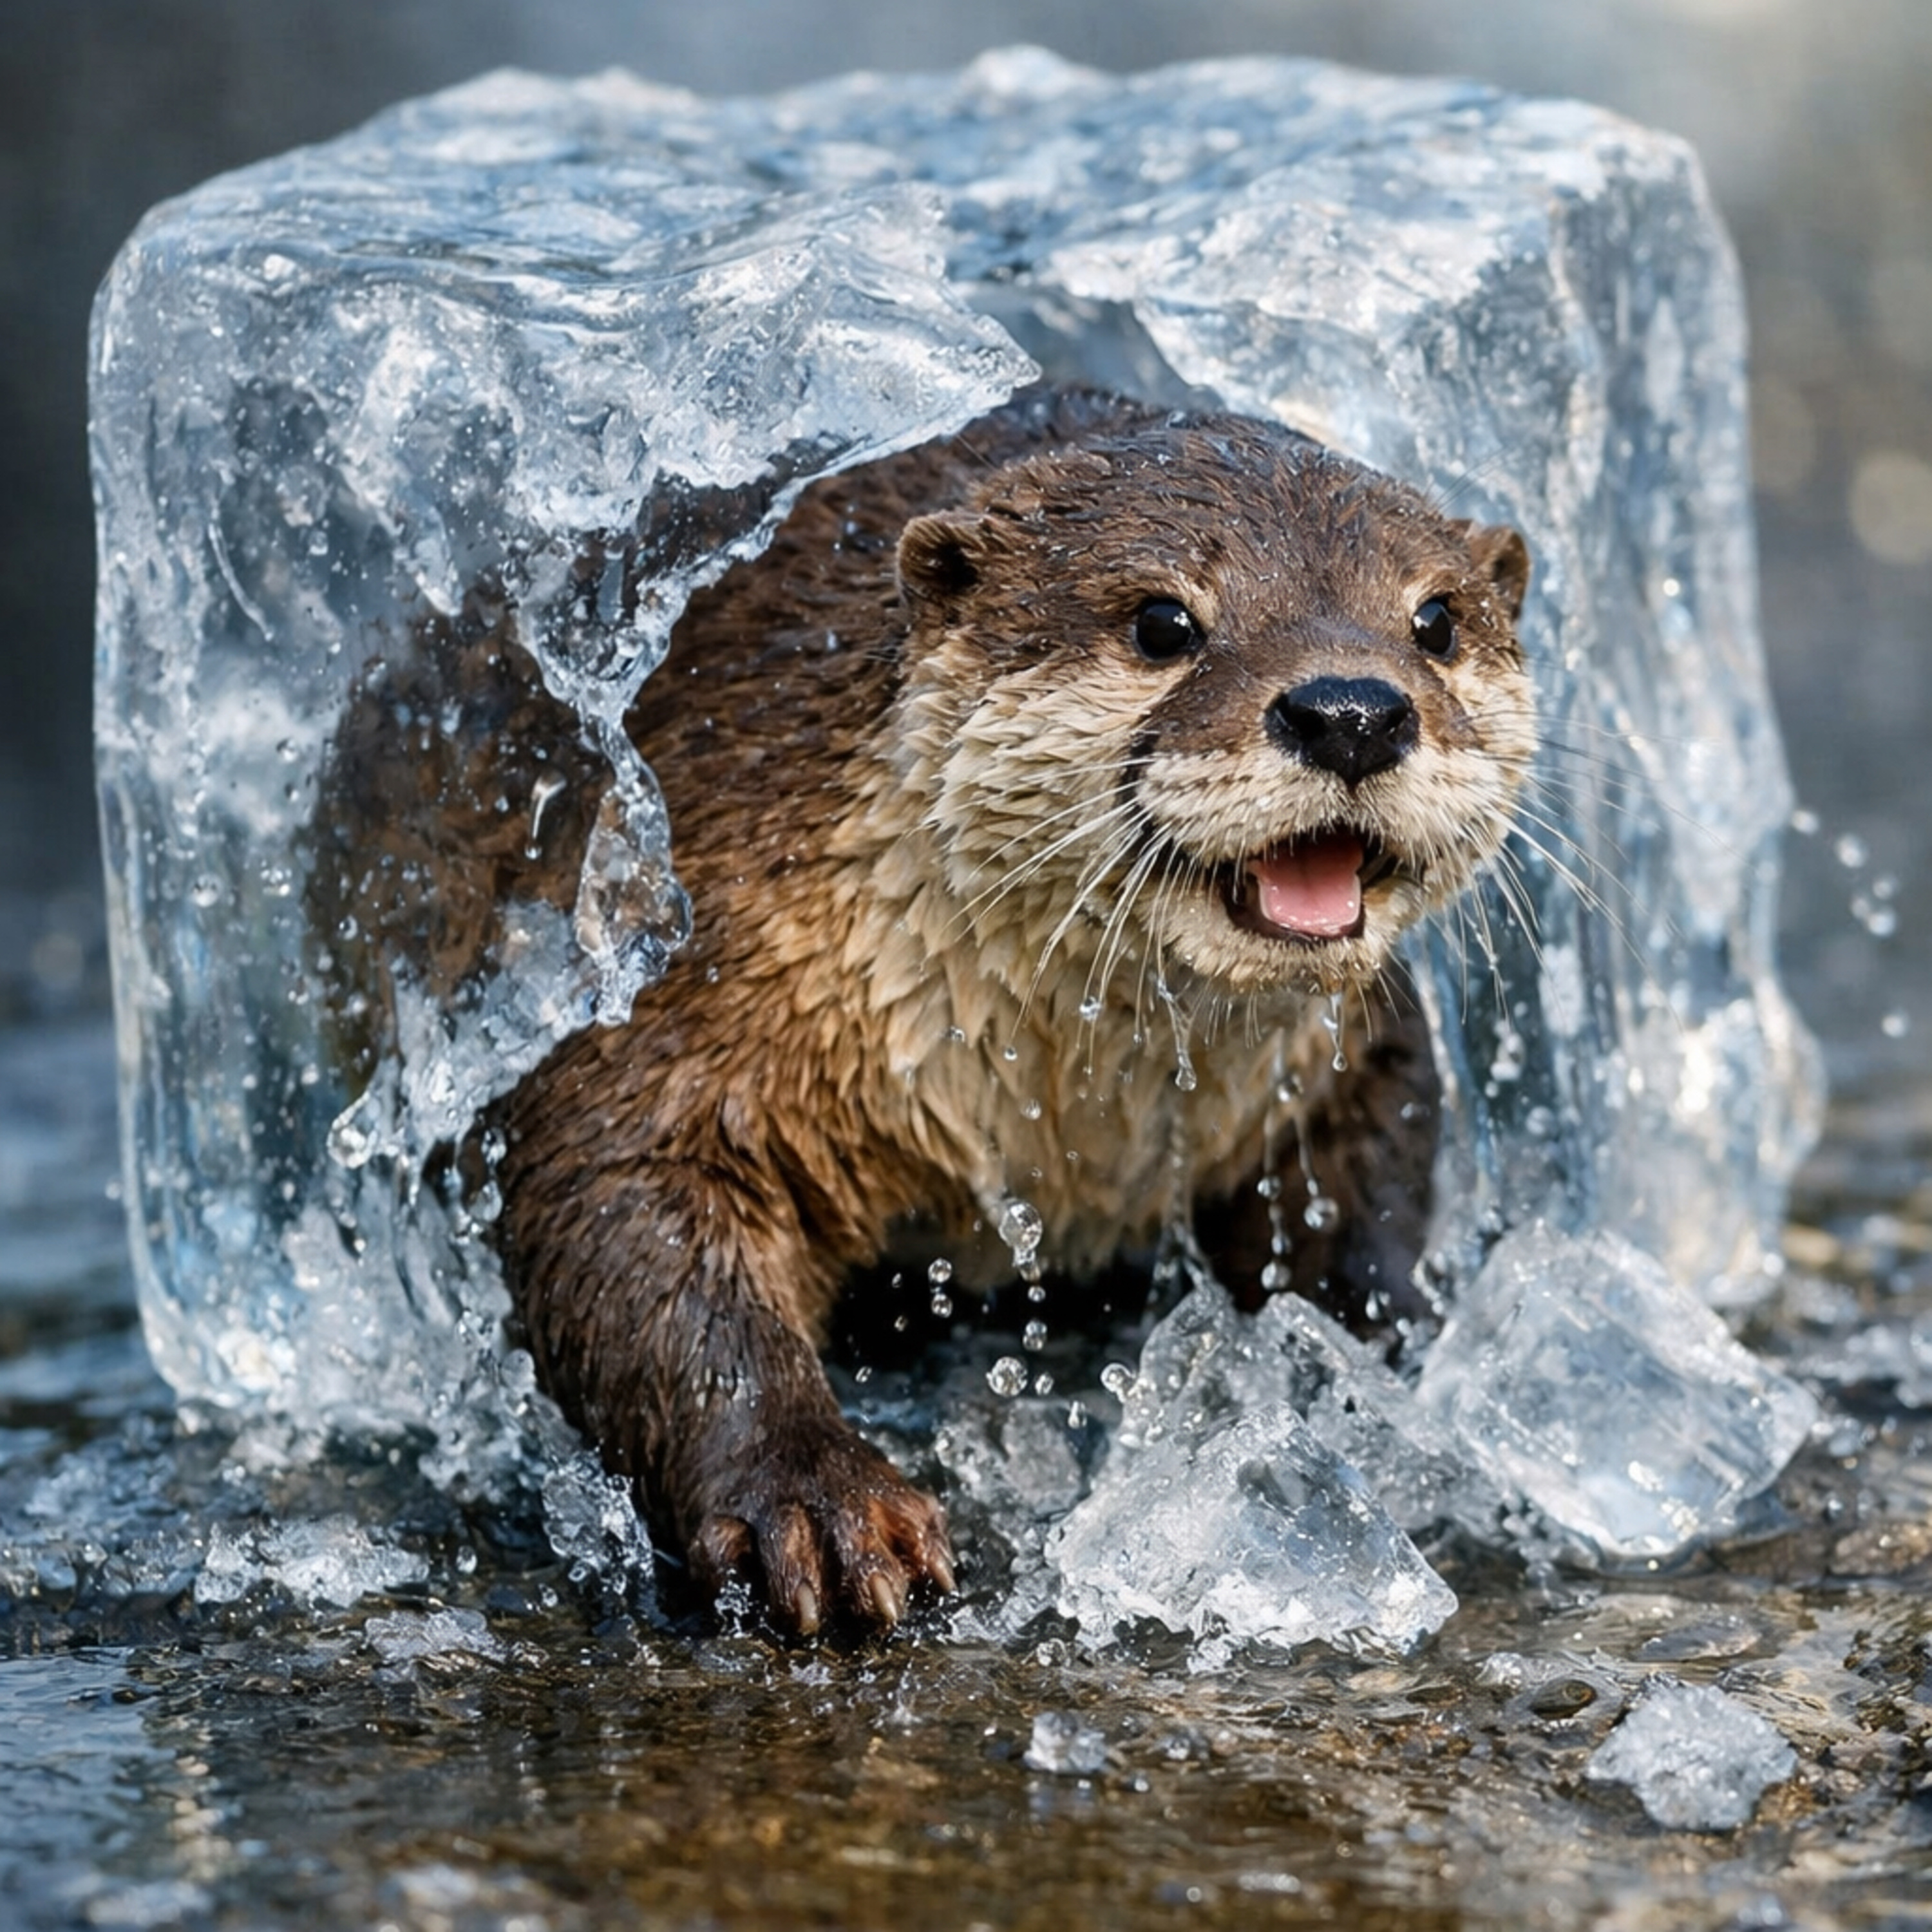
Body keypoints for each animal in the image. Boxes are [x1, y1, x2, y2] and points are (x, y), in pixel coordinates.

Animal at [314, 388, 1532, 1635]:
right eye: (1162, 622)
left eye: (1435, 620)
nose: (1352, 710)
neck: (1054, 1112)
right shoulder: (671, 940)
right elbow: (623, 1201)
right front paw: (814, 1504)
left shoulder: (1350, 1055)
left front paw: (1371, 1383)